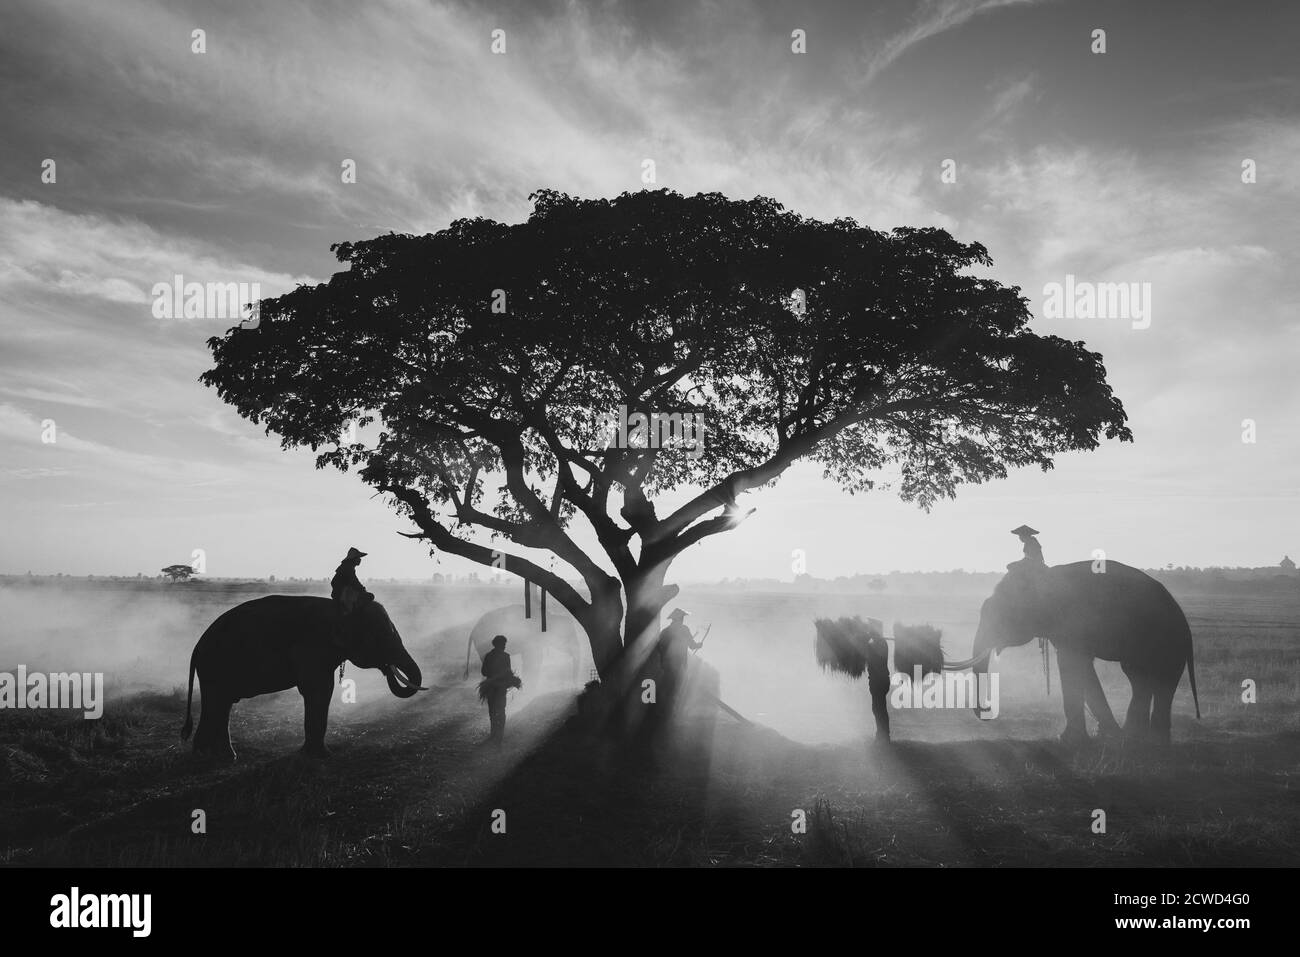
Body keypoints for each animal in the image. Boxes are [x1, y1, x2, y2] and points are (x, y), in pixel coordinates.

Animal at [180, 595, 423, 759]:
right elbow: (319, 690)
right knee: (217, 703)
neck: (338, 608)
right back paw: (206, 757)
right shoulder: (312, 649)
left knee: (222, 705)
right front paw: (322, 756)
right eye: (380, 636)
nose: (388, 668)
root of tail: (197, 647)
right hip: (214, 668)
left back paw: (223, 757)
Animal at [951, 564, 1201, 743]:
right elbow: (1082, 669)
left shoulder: (1072, 623)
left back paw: (1149, 740)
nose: (987, 709)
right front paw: (1104, 734)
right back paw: (1137, 737)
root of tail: (1184, 622)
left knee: (1159, 681)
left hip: (1168, 643)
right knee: (1140, 678)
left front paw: (1068, 739)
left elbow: (1072, 665)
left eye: (999, 614)